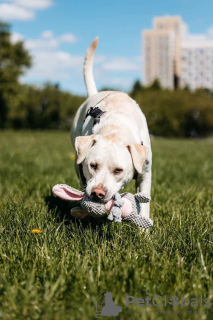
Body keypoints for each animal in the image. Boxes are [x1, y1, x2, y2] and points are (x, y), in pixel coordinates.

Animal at [70, 37, 151, 218]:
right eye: (93, 165)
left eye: (118, 170)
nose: (97, 193)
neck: (116, 129)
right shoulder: (82, 168)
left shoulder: (145, 172)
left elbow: (144, 199)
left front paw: (144, 223)